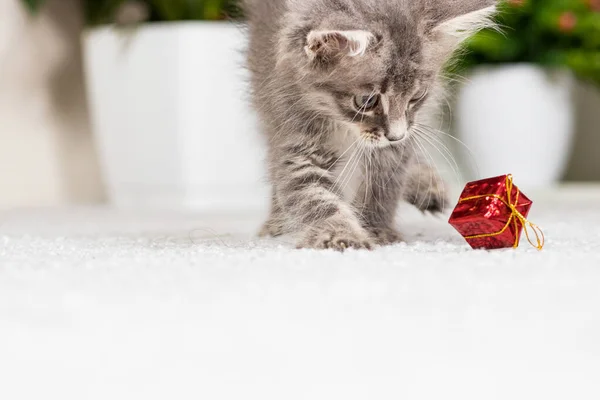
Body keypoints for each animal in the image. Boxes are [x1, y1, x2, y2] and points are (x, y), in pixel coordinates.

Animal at [244, 0, 496, 250]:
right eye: (366, 101)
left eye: (417, 96)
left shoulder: (396, 144)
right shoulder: (293, 131)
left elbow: (383, 184)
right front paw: (340, 235)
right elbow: (313, 196)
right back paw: (277, 223)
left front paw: (376, 229)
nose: (396, 136)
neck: (342, 124)